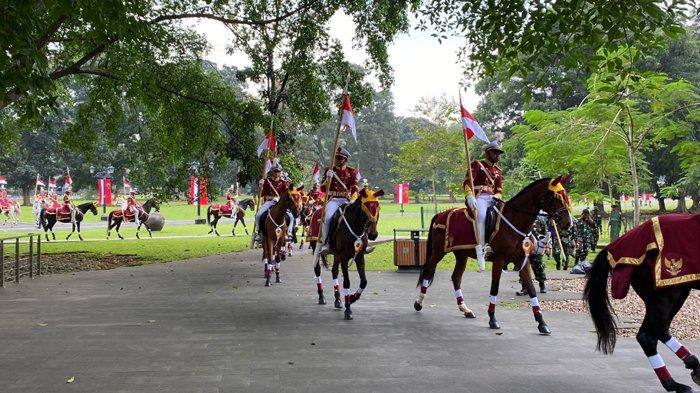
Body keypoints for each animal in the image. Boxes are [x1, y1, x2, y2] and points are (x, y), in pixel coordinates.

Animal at [314, 187, 386, 318]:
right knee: (317, 270)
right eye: (365, 208)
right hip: (316, 247)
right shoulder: (344, 257)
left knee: (334, 271)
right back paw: (321, 296)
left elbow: (364, 282)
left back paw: (338, 299)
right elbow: (347, 282)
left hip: (336, 255)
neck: (356, 226)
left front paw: (352, 298)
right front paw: (348, 309)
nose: (373, 234)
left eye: (378, 206)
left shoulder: (359, 257)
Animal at [412, 178, 572, 334]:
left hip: (461, 255)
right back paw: (419, 303)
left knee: (456, 277)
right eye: (556, 198)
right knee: (427, 271)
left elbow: (532, 289)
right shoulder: (498, 261)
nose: (568, 223)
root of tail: (440, 214)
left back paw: (465, 309)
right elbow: (494, 288)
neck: (514, 221)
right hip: (438, 252)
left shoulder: (522, 261)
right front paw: (492, 319)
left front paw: (541, 323)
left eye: (566, 196)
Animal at [584, 214, 700, 392]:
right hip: (664, 296)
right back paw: (674, 383)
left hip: (675, 293)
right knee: (648, 336)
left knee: (659, 330)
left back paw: (691, 365)